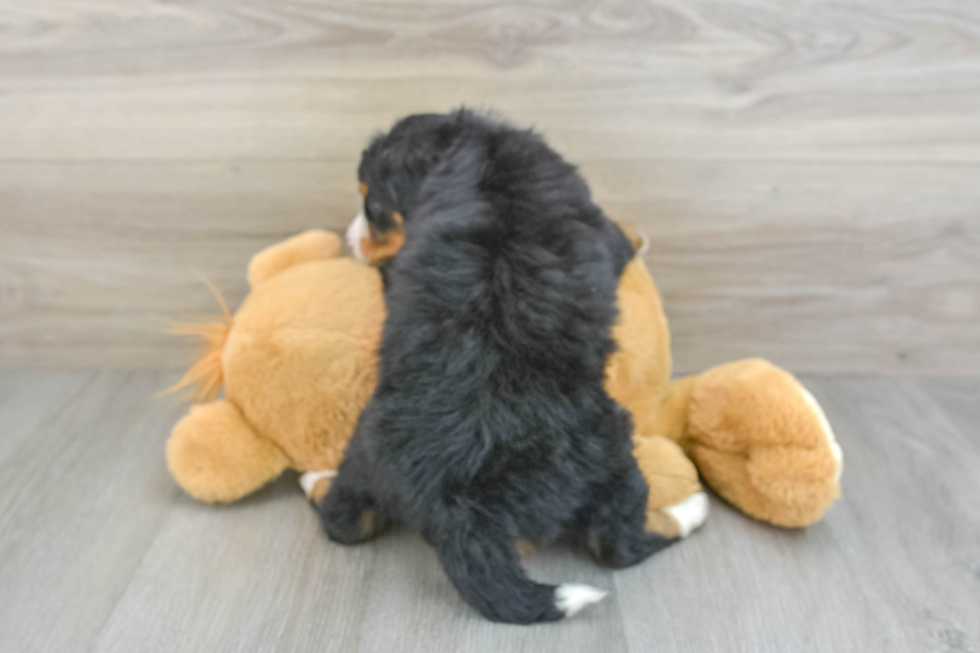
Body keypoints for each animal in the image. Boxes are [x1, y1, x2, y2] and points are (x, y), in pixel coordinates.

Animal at [322, 111, 672, 620]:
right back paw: (678, 521)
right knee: (619, 546)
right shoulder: (602, 232)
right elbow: (621, 237)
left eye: (374, 205)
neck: (476, 143)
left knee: (343, 522)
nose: (346, 239)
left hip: (364, 455)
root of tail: (457, 505)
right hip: (615, 454)